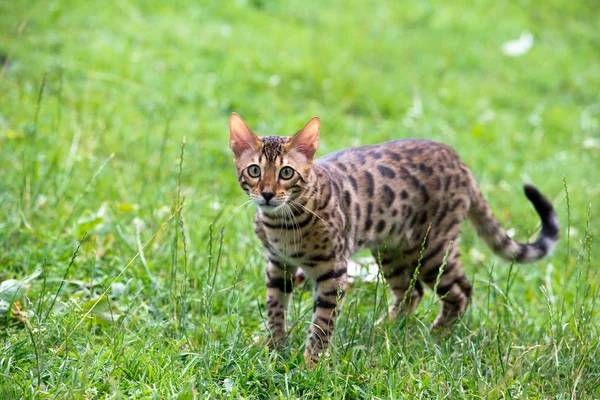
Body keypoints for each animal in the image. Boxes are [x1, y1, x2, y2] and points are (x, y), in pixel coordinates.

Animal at [229, 111, 556, 362]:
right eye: (254, 170)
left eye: (286, 173)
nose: (267, 194)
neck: (283, 225)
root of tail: (457, 158)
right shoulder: (277, 264)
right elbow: (275, 309)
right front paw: (275, 349)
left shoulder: (333, 271)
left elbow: (322, 323)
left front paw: (311, 363)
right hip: (391, 249)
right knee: (412, 292)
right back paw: (382, 331)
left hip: (433, 247)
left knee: (462, 290)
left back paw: (436, 336)